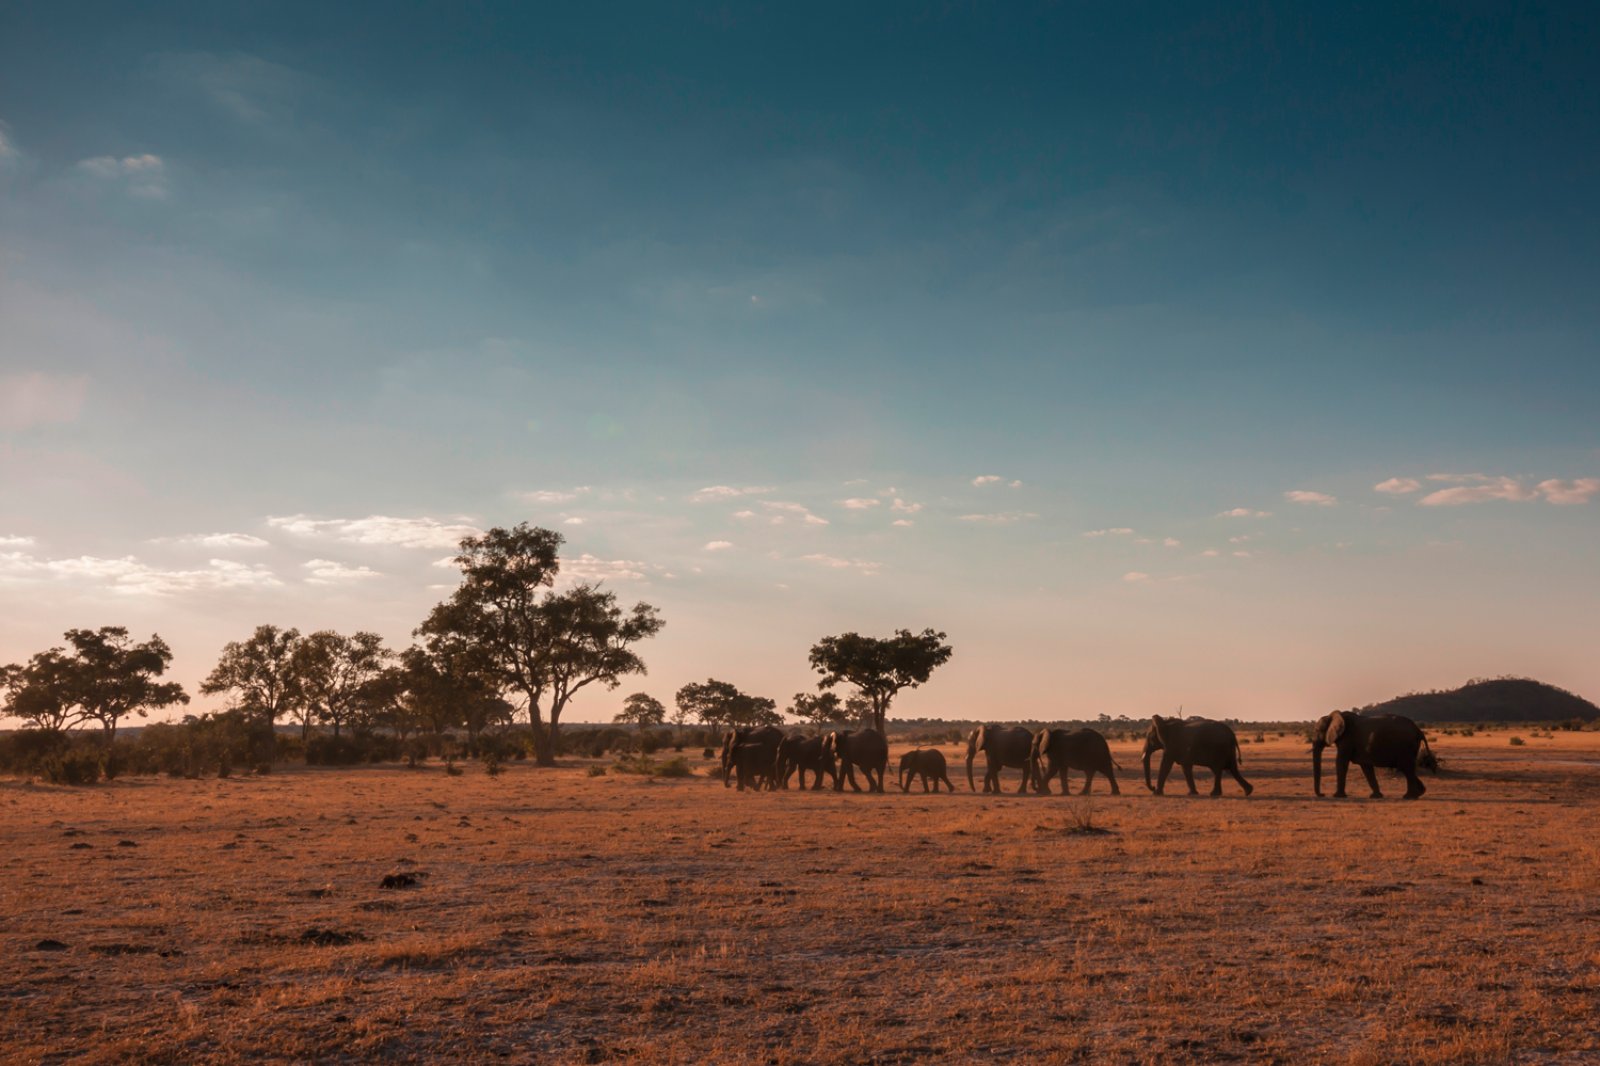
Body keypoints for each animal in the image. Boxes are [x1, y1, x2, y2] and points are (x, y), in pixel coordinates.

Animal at [1312, 704, 1440, 797]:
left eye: (1317, 730)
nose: (1322, 794)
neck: (1332, 716)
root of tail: (1418, 730)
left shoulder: (1347, 738)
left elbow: (1341, 762)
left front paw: (1338, 796)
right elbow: (1366, 767)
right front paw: (1376, 796)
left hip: (1405, 746)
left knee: (1406, 768)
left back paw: (1409, 797)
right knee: (1407, 768)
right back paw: (1420, 793)